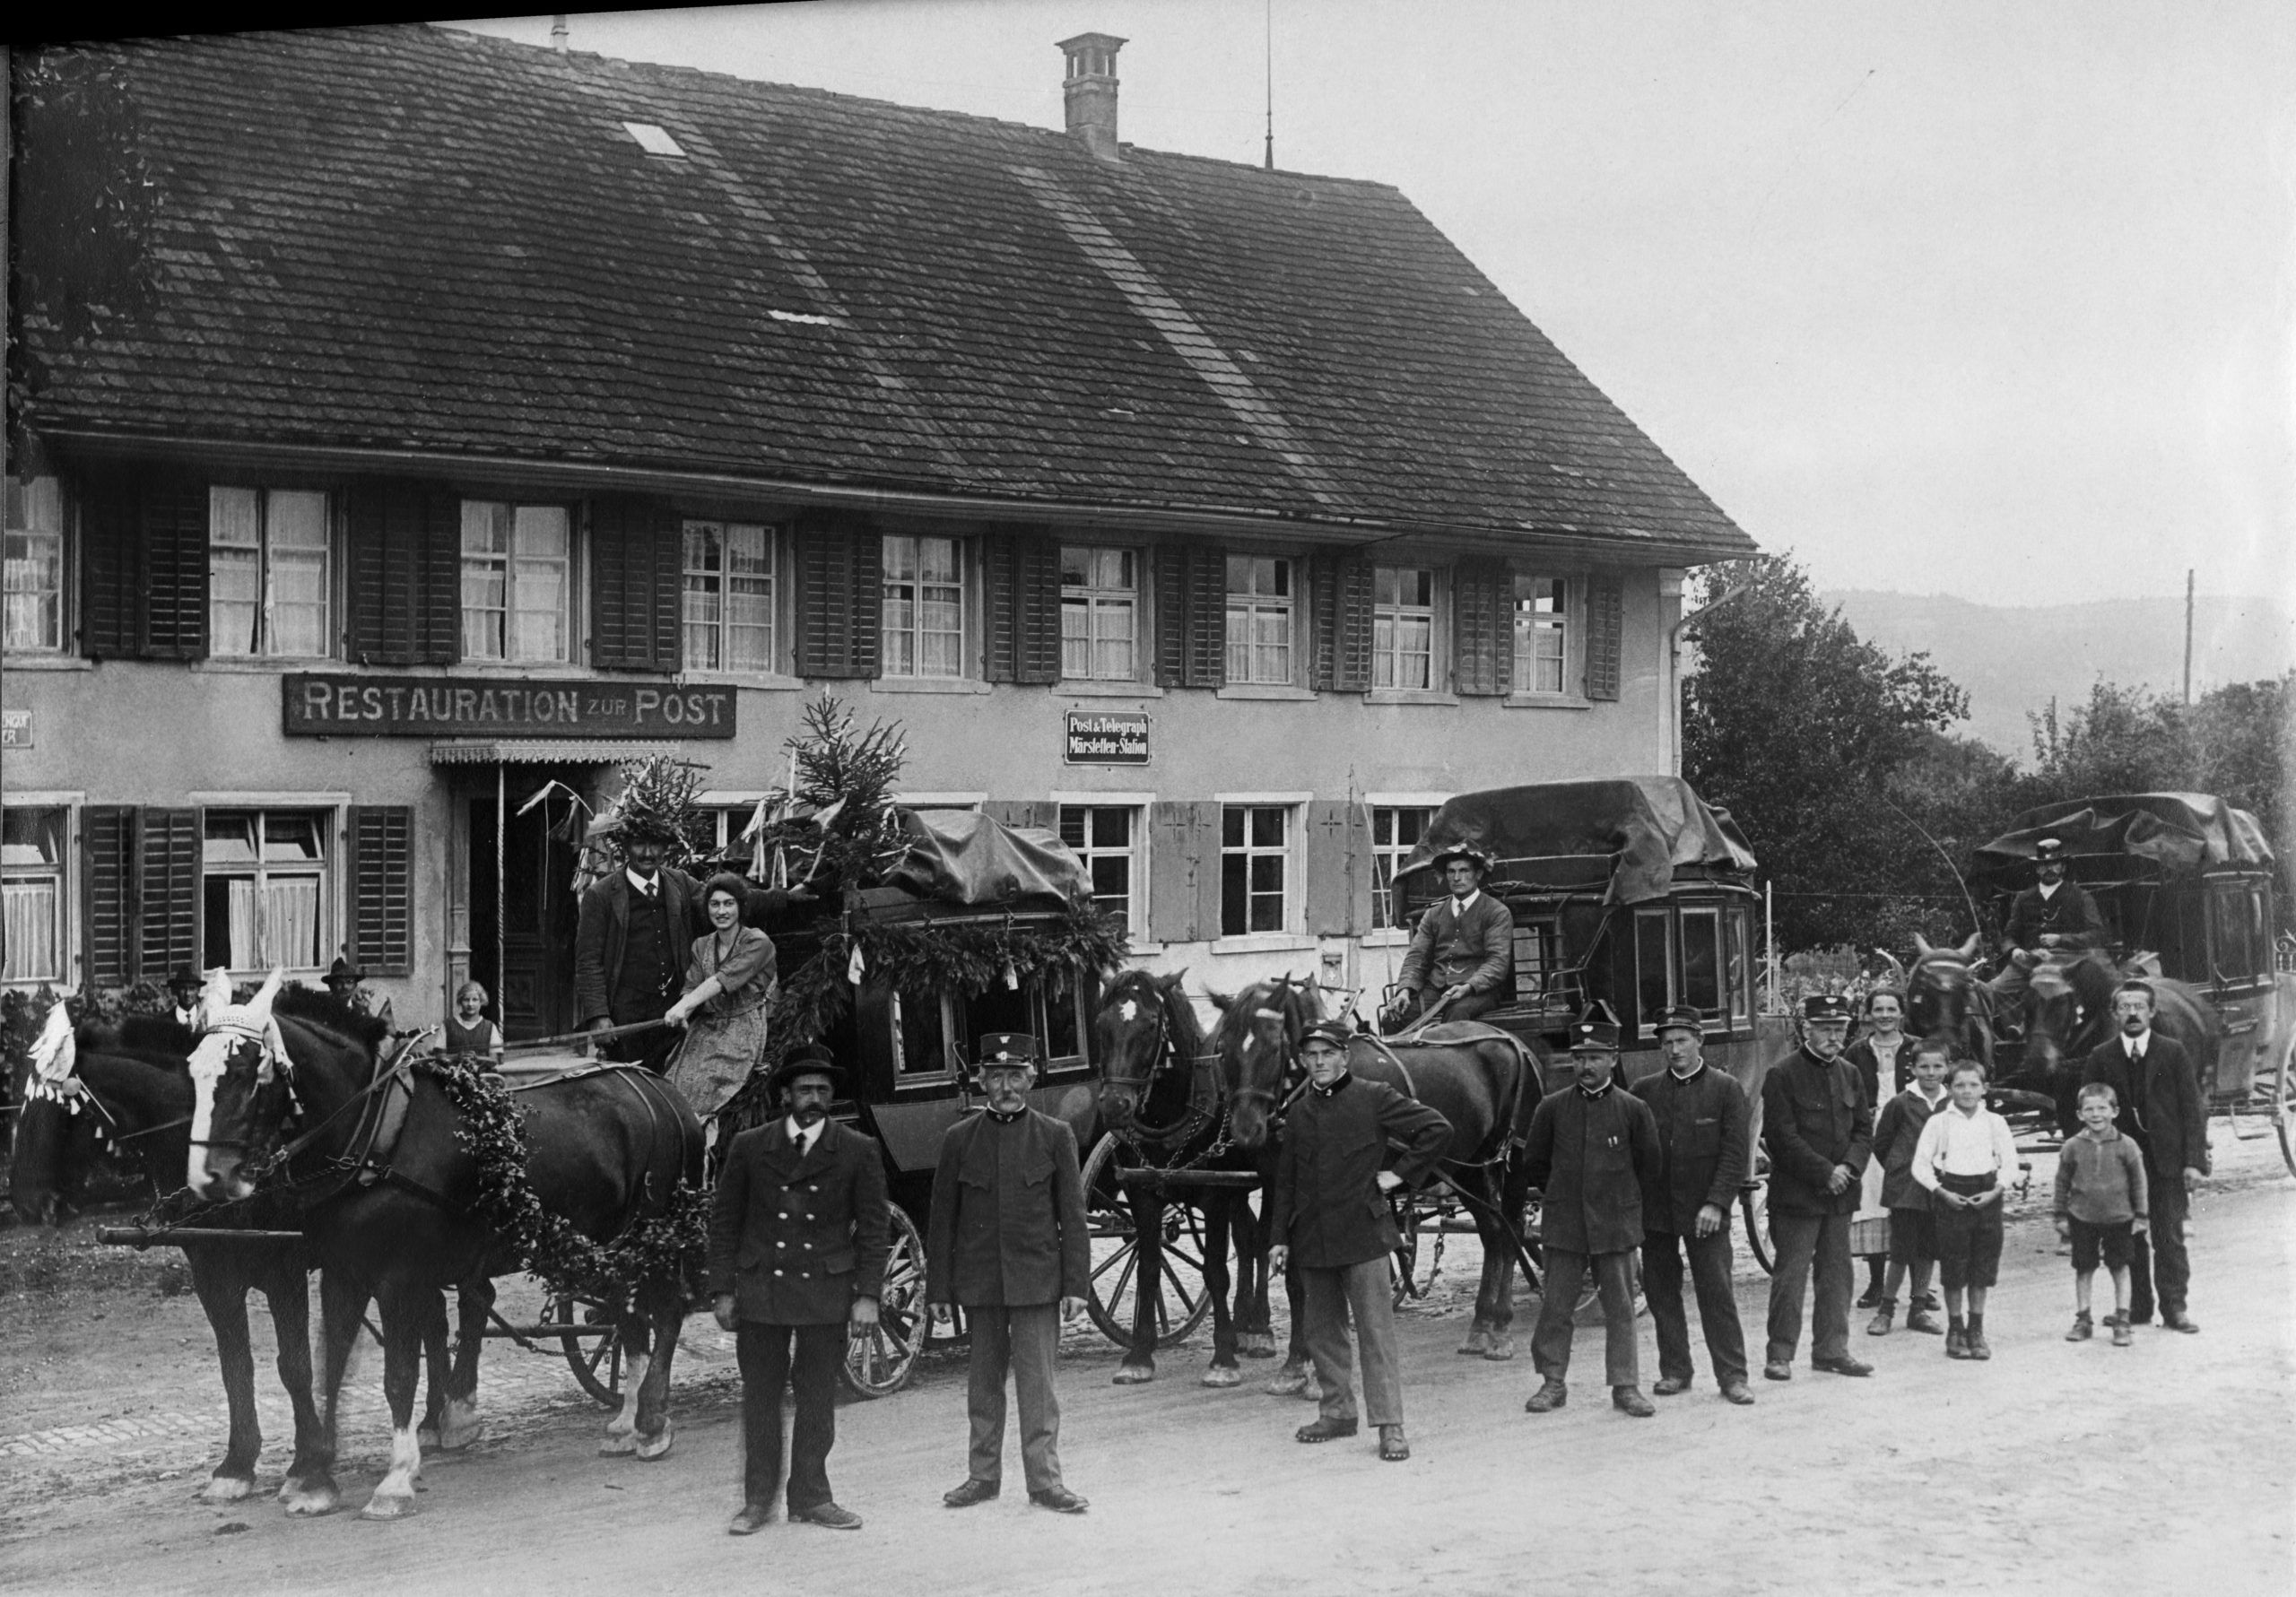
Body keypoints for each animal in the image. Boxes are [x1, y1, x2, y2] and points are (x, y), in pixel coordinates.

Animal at [9, 1004, 482, 1514]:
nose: (26, 1203)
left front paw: (304, 1465)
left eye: (59, 1111)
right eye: (22, 1105)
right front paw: (237, 1466)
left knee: (456, 1309)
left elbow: (294, 1366)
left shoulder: (283, 1271)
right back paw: (435, 1418)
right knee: (435, 1317)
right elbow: (236, 1367)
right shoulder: (212, 1275)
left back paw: (450, 1413)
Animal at [187, 977, 698, 1514]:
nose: (208, 1178)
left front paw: (395, 1478)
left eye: (244, 1071)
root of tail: (665, 1091)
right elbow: (328, 1368)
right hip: (609, 1244)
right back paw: (625, 1422)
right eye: (193, 1070)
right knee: (627, 1319)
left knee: (664, 1312)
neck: (376, 1132)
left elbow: (398, 1376)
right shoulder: (342, 1270)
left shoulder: (395, 1278)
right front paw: (314, 1477)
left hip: (652, 1236)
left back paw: (652, 1421)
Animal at [1092, 968, 1313, 1394]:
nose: (1114, 1105)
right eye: (1101, 1025)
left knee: (1263, 1239)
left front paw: (1222, 1359)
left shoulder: (1214, 1197)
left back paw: (1259, 1329)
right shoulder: (1142, 1194)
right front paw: (1139, 1355)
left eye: (1150, 1025)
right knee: (1249, 1240)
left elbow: (1214, 1272)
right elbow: (1148, 1269)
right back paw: (1248, 1326)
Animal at [1221, 972, 1543, 1358]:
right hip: (1469, 1165)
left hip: (1515, 1160)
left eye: (1271, 1047)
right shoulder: (1278, 1183)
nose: (1245, 1129)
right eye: (1224, 1048)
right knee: (1493, 1231)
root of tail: (1513, 1042)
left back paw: (1502, 1324)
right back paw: (1482, 1325)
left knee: (1512, 1229)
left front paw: (1302, 1355)